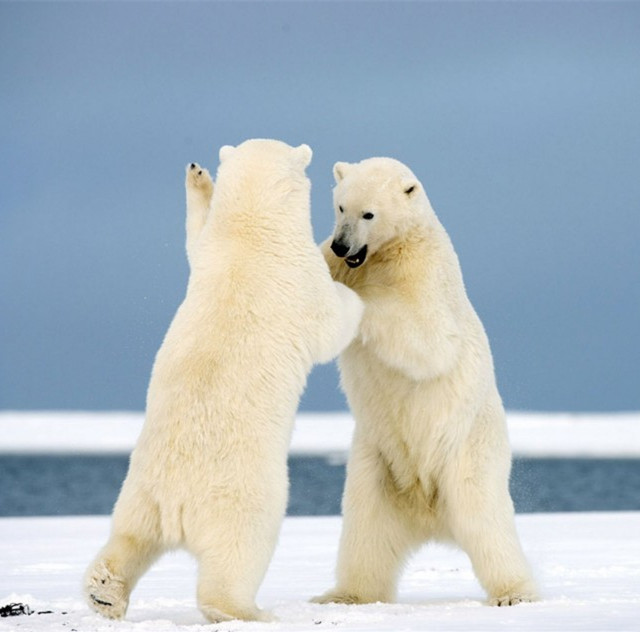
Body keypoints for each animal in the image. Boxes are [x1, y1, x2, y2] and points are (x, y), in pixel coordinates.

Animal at [84, 139, 364, 624]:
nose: (197, 167)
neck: (252, 234)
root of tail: (176, 504)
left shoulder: (210, 253)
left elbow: (194, 238)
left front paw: (198, 177)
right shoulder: (298, 281)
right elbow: (331, 323)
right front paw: (356, 293)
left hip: (138, 490)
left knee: (129, 537)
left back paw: (104, 592)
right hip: (244, 496)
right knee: (239, 553)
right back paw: (248, 611)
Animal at [312, 157, 536, 608]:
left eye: (369, 213)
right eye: (340, 206)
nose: (344, 245)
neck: (388, 251)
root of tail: (427, 515)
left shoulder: (426, 274)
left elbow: (428, 338)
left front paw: (362, 305)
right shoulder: (336, 260)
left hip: (467, 455)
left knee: (486, 521)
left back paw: (513, 593)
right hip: (375, 468)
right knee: (365, 531)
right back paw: (343, 595)